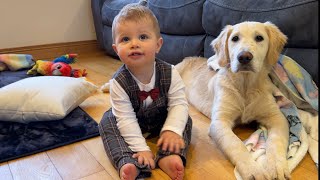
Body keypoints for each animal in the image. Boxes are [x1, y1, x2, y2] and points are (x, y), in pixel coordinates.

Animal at [175, 21, 290, 179]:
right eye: (234, 38)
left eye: (259, 38)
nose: (244, 57)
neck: (245, 86)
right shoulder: (219, 122)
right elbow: (236, 144)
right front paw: (253, 170)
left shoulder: (277, 117)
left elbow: (277, 140)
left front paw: (277, 166)